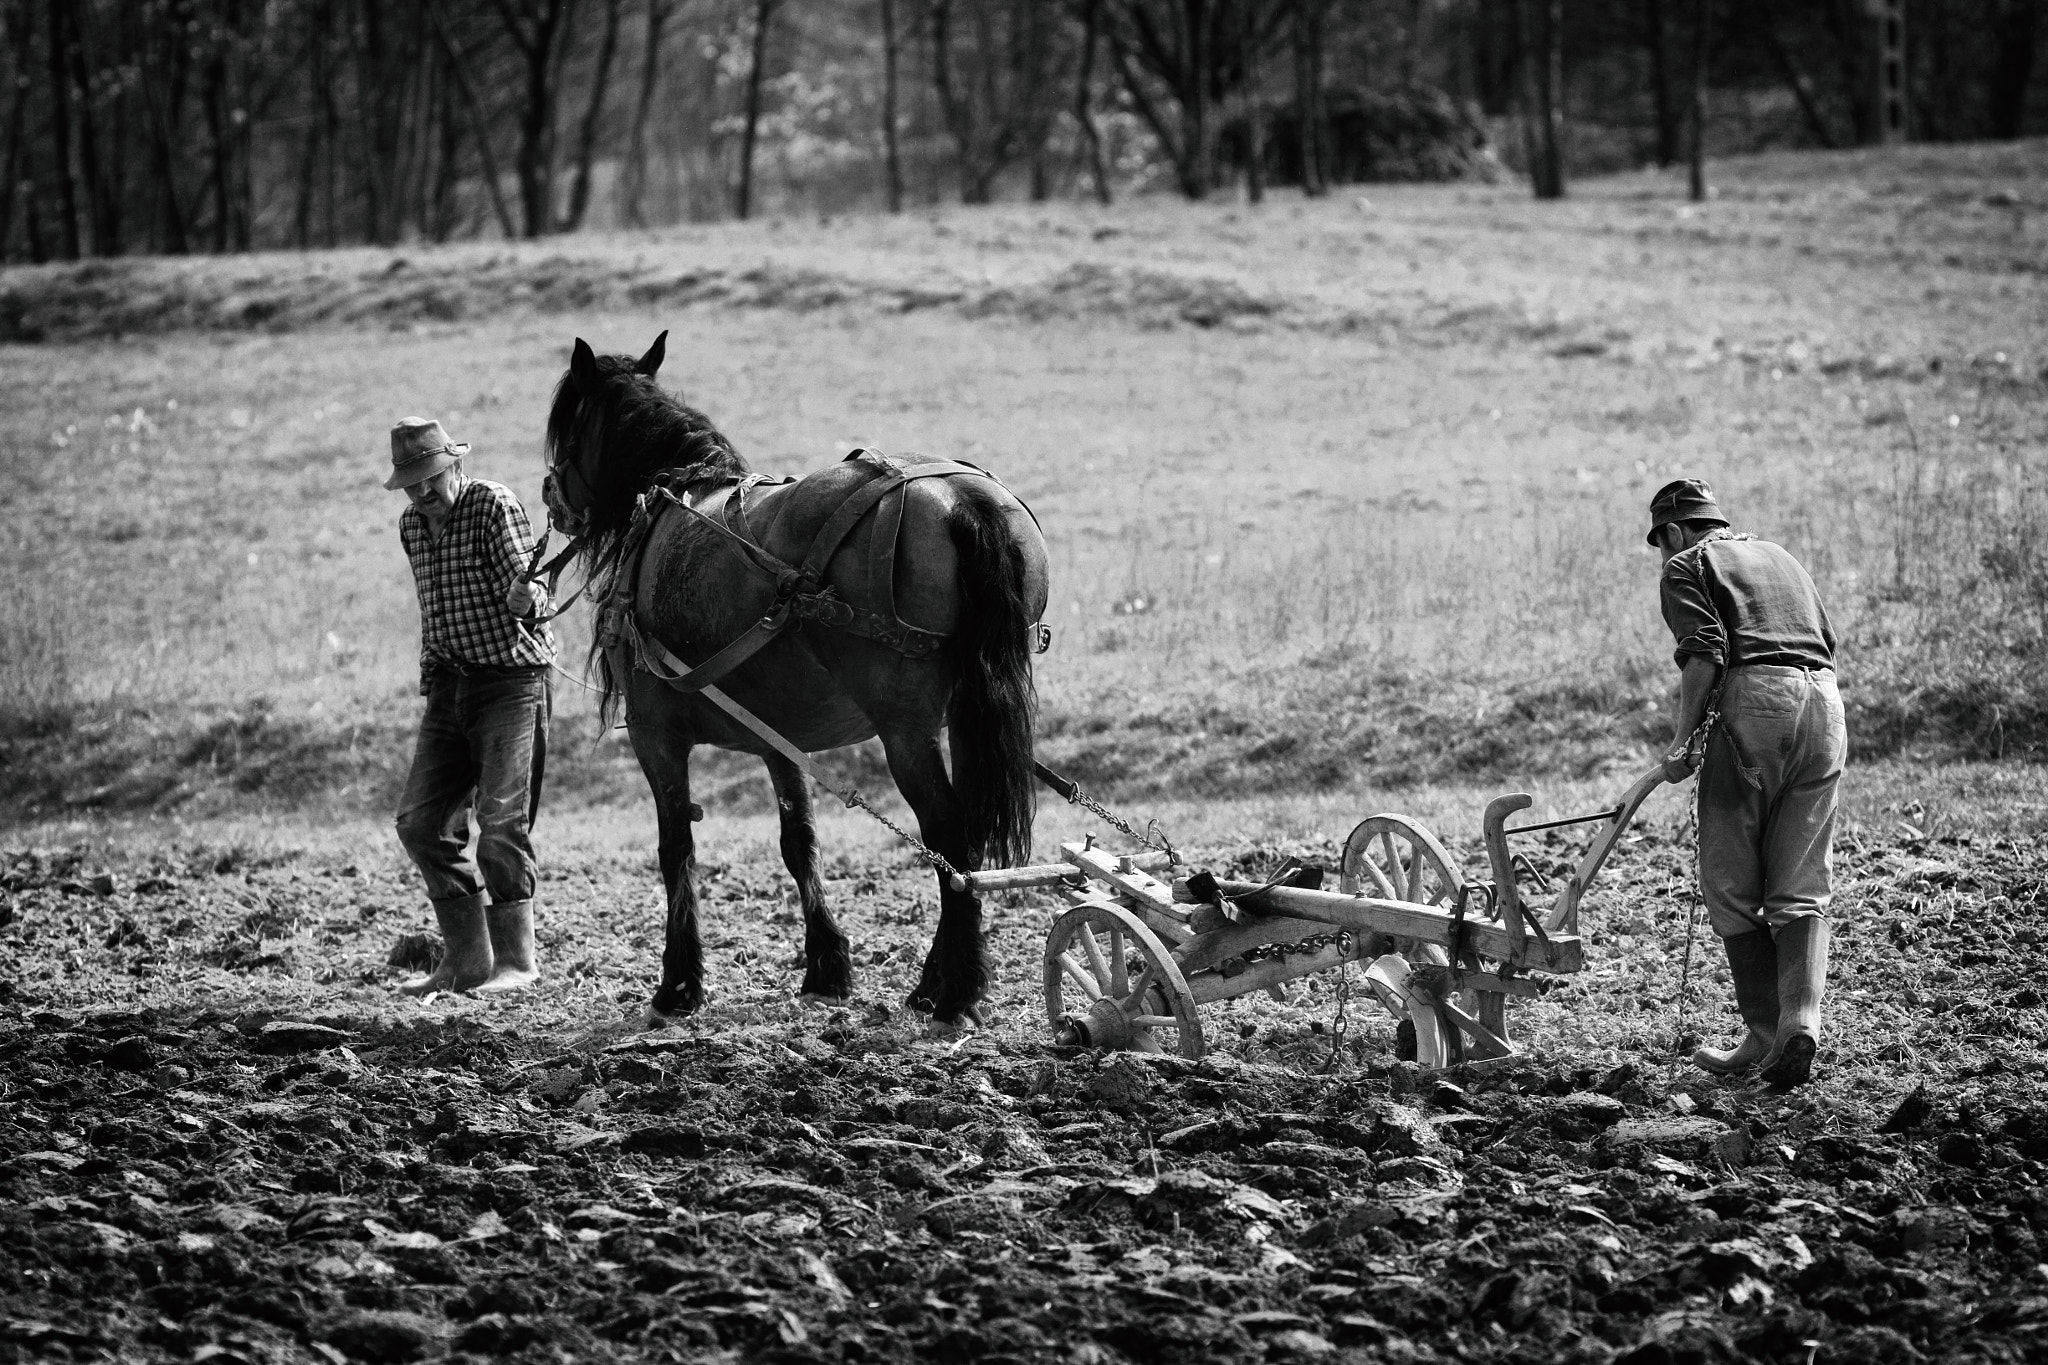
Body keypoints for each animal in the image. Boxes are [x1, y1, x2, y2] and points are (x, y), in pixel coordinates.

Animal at [540, 335, 1048, 1031]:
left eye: (567, 427)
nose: (550, 495)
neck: (673, 496)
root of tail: (960, 501)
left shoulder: (655, 735)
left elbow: (676, 849)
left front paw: (679, 984)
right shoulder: (780, 738)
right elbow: (798, 839)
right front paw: (827, 966)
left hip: (907, 731)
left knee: (948, 834)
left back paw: (956, 991)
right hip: (969, 714)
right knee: (960, 836)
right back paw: (936, 982)